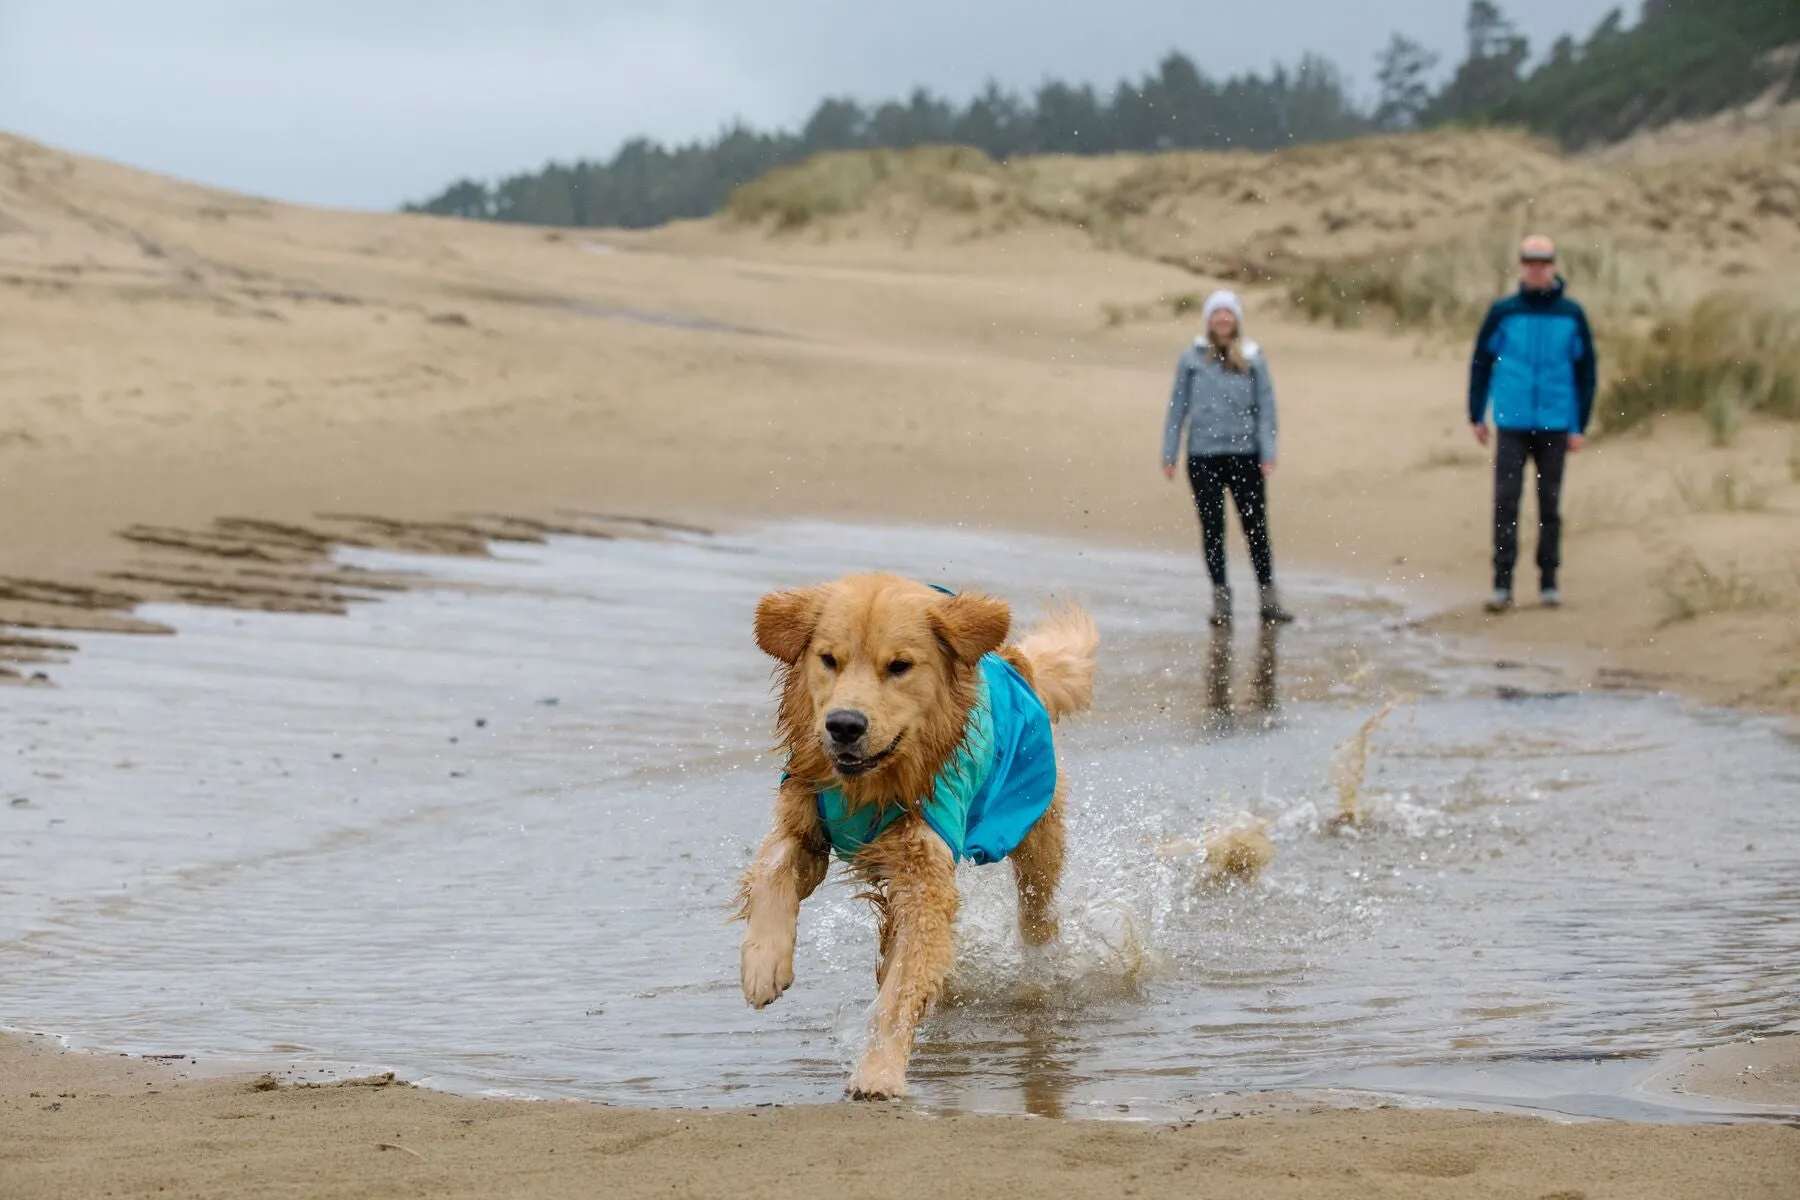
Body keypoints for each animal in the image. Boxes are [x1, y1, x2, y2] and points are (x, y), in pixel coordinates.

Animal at [730, 572, 1094, 1101]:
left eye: (899, 666)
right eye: (829, 660)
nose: (843, 725)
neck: (869, 787)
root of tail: (1014, 661)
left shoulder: (924, 873)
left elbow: (902, 988)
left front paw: (879, 1072)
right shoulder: (803, 817)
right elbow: (773, 868)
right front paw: (763, 965)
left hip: (1033, 825)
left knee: (1038, 908)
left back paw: (1041, 969)